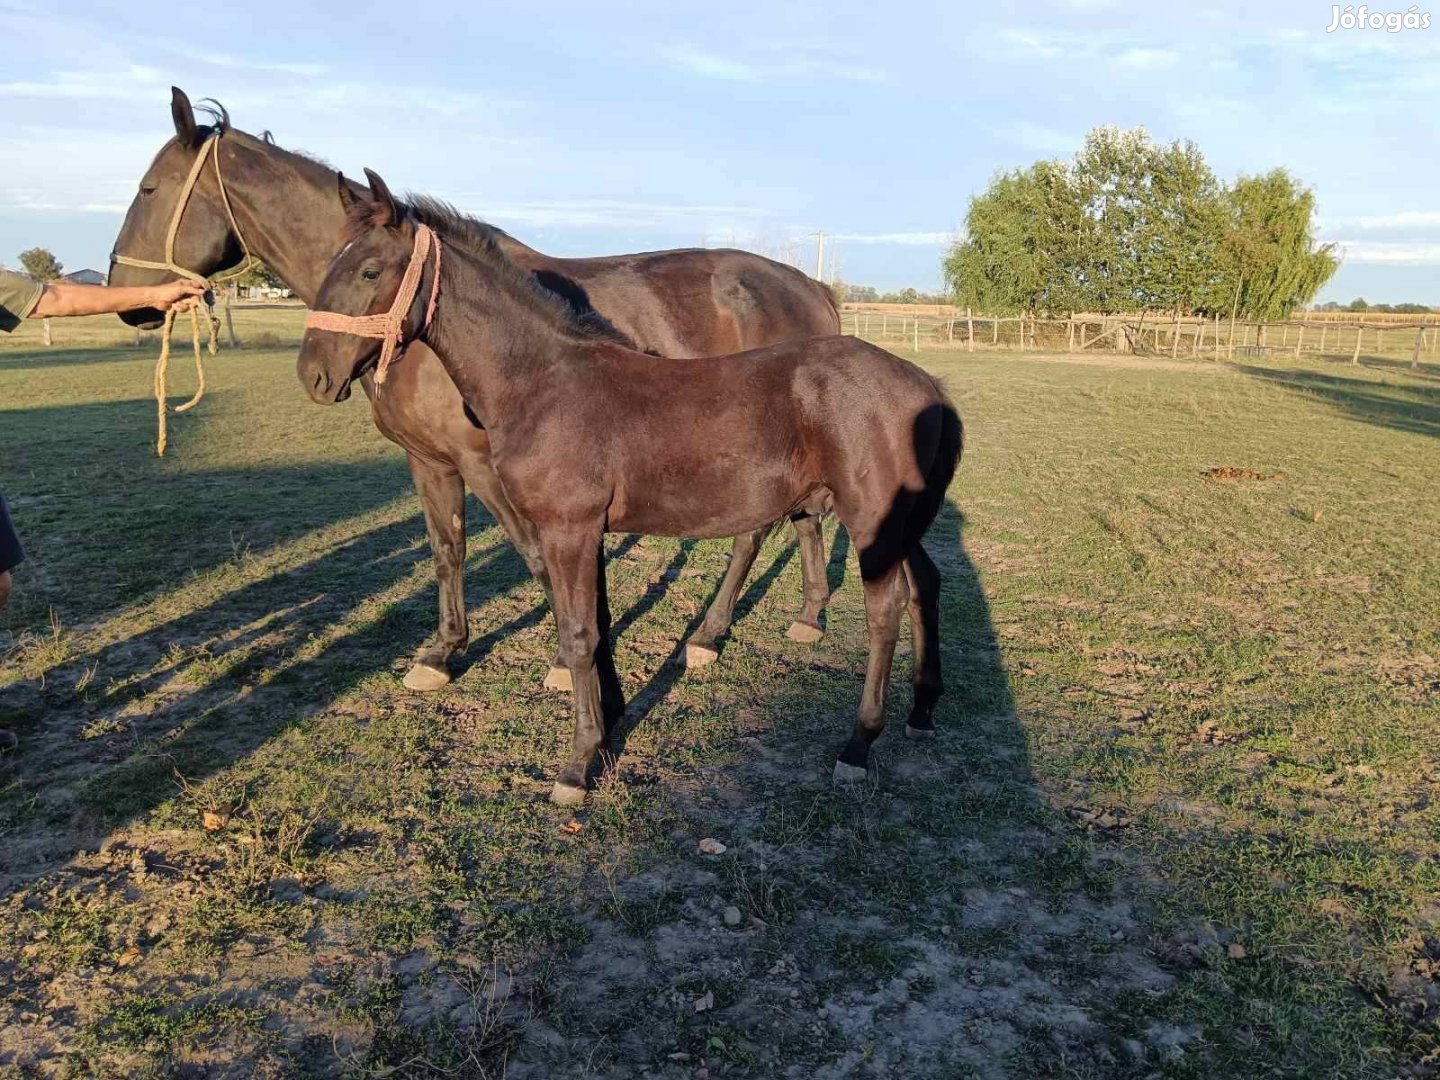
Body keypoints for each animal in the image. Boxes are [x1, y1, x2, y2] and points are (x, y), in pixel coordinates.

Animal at [106, 95, 840, 694]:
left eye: (147, 187)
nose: (125, 299)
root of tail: (811, 286)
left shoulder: (488, 466)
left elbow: (535, 560)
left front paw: (566, 664)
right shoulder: (429, 460)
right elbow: (447, 549)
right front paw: (444, 653)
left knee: (754, 533)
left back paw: (710, 636)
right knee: (801, 520)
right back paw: (808, 616)